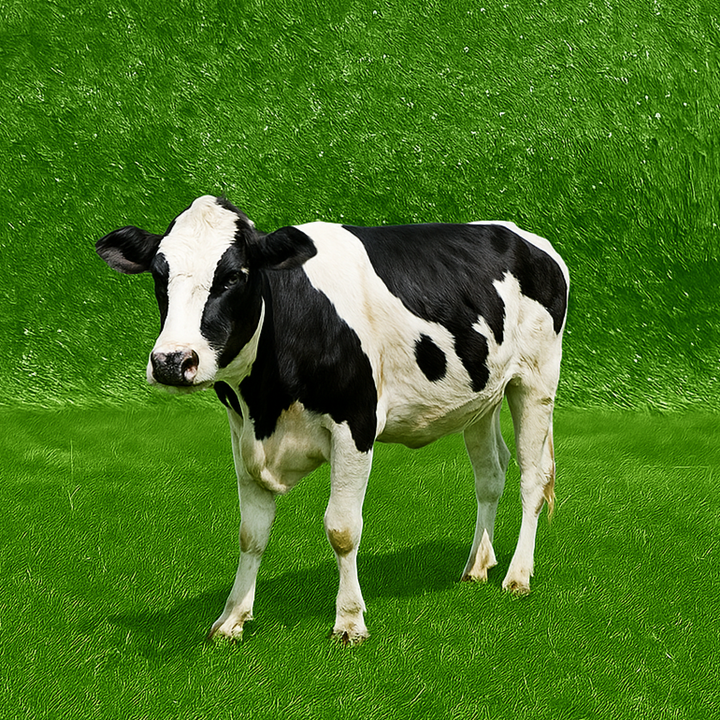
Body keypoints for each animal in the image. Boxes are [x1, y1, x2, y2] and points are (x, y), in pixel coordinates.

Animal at [96, 195, 569, 644]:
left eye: (233, 276)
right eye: (159, 275)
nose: (172, 361)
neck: (267, 401)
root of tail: (523, 235)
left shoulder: (355, 423)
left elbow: (342, 529)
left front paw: (349, 622)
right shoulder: (242, 431)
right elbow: (251, 533)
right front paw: (232, 620)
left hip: (536, 379)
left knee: (533, 475)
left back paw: (517, 576)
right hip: (480, 397)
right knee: (491, 474)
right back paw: (477, 566)